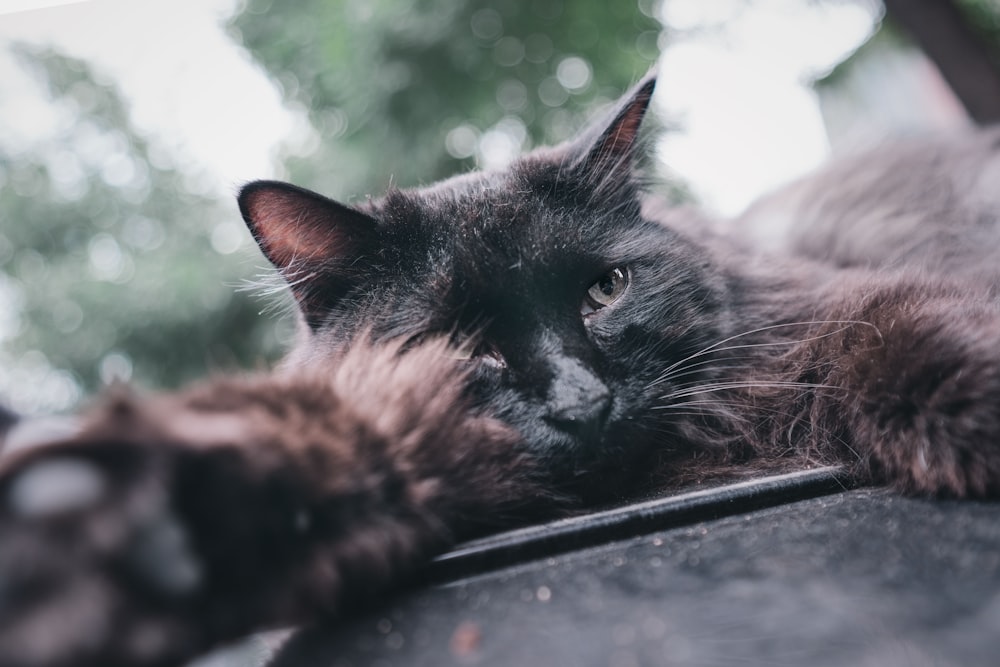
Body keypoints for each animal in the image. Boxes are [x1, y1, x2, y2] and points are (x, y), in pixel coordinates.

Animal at [1, 73, 1000, 667]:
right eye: (457, 342)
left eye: (605, 289)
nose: (584, 402)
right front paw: (127, 528)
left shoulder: (827, 313)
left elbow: (903, 336)